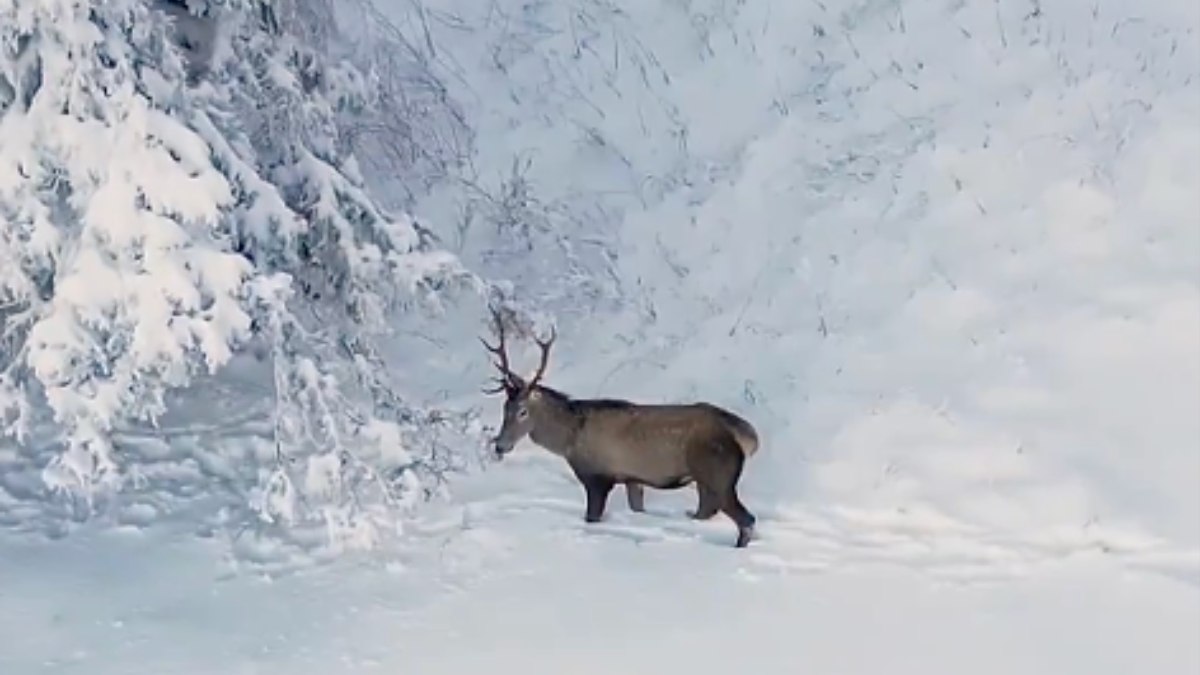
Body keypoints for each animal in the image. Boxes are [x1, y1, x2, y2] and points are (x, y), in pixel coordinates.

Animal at [480, 307, 753, 542]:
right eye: (505, 408)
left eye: (523, 411)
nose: (500, 445)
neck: (568, 439)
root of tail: (749, 437)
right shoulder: (633, 479)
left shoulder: (597, 477)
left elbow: (592, 516)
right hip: (706, 482)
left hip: (718, 475)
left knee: (745, 519)